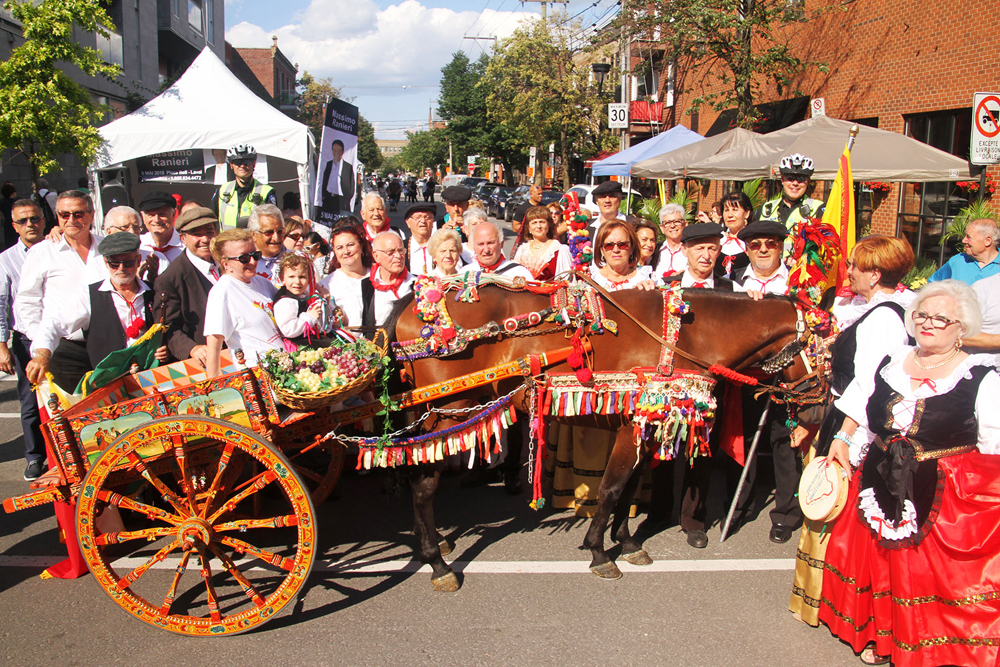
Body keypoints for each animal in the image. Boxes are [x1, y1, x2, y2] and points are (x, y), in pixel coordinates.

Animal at [386, 284, 808, 592]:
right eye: (818, 347)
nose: (815, 402)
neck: (684, 336)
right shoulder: (631, 426)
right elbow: (611, 488)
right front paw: (600, 552)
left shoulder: (645, 429)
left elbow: (632, 486)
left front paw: (628, 542)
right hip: (448, 412)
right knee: (424, 485)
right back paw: (437, 562)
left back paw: (433, 544)